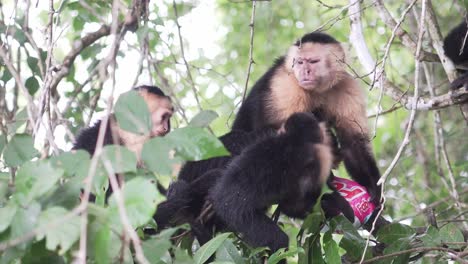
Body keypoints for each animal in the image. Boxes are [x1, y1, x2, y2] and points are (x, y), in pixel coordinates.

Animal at [232, 33, 382, 205]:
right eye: (300, 62)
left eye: (313, 62)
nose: (305, 71)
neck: (319, 89)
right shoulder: (286, 85)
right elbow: (281, 132)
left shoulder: (348, 86)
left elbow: (353, 141)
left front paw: (373, 185)